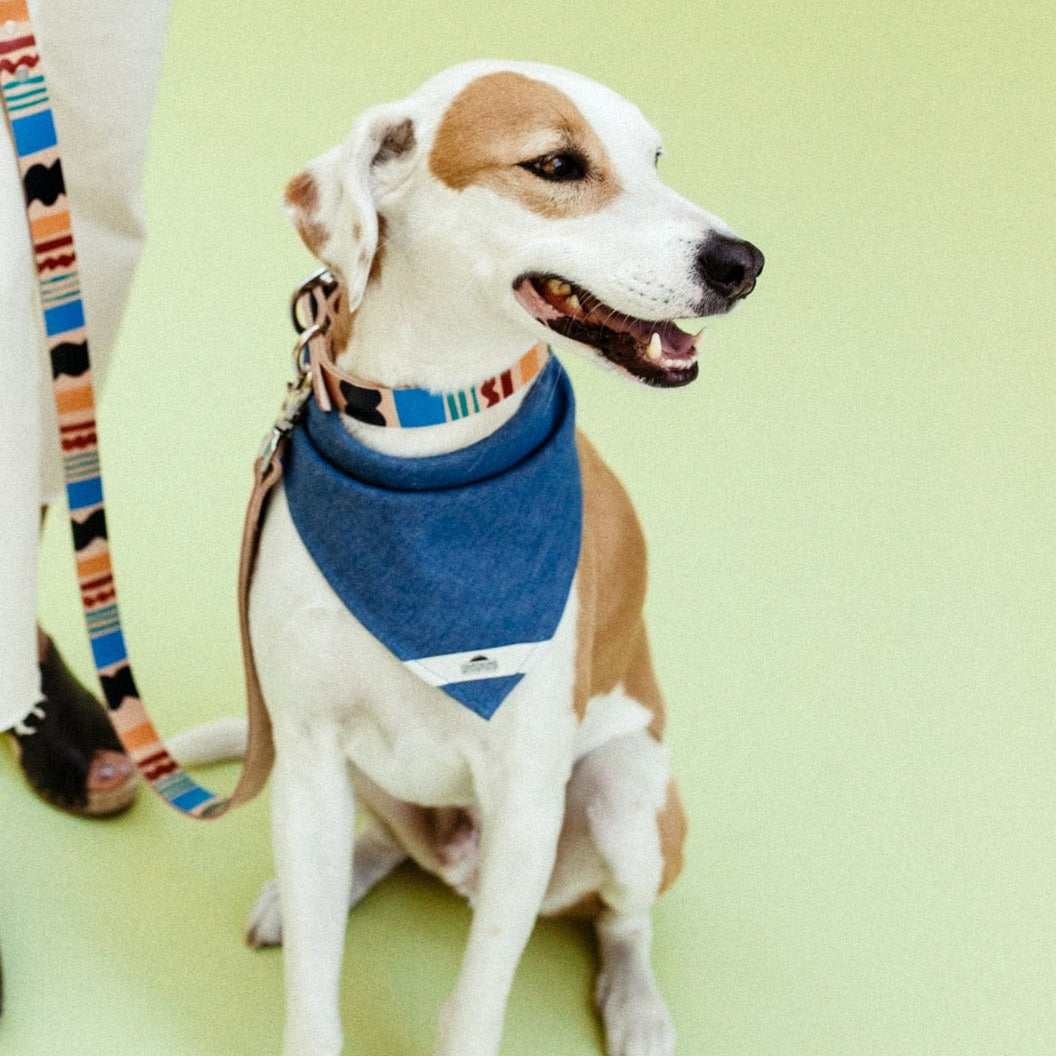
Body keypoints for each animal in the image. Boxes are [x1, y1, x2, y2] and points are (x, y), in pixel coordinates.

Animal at [233, 59, 760, 1056]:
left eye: (656, 159)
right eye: (556, 164)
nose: (741, 262)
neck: (430, 445)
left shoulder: (526, 791)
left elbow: (477, 997)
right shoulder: (309, 756)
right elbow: (314, 987)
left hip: (623, 797)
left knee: (624, 919)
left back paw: (638, 1006)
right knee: (375, 847)